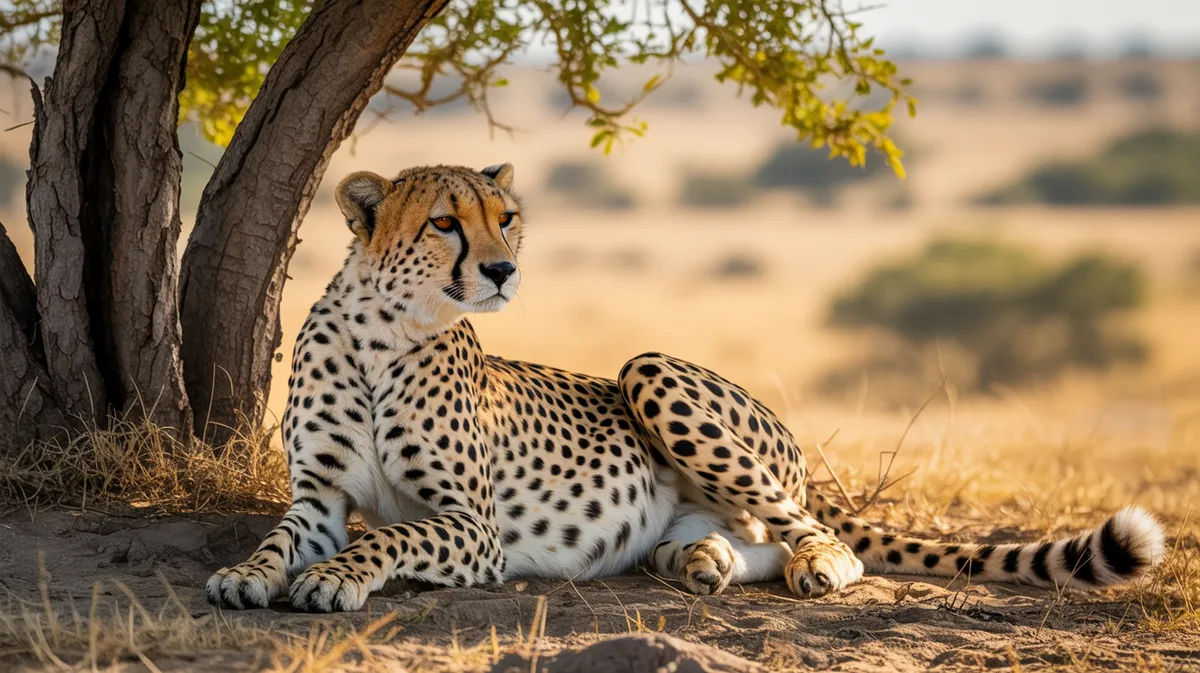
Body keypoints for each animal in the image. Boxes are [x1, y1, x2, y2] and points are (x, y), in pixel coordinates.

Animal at [207, 162, 1165, 612]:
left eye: (506, 217)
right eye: (445, 222)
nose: (505, 268)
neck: (382, 333)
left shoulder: (471, 527)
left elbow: (388, 538)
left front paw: (332, 581)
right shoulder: (319, 499)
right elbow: (280, 539)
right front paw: (244, 575)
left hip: (652, 368)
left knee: (818, 533)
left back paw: (815, 563)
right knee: (748, 537)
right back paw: (703, 558)